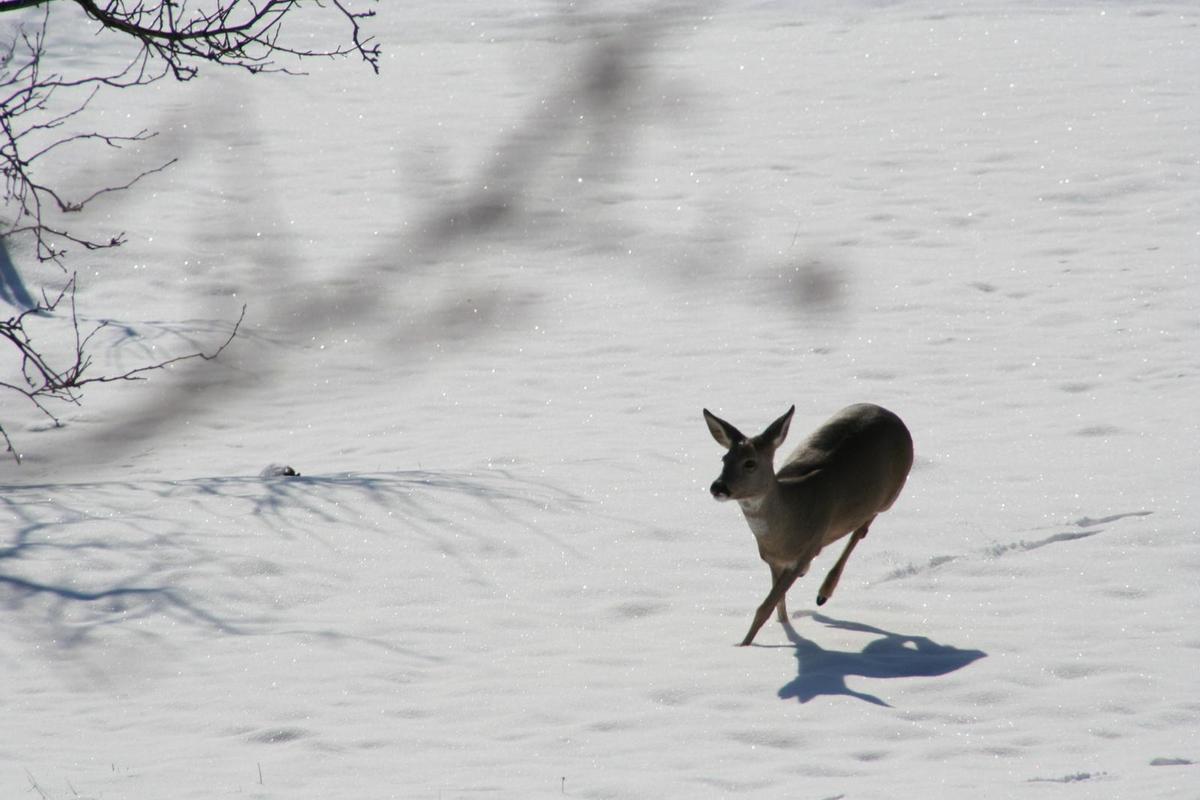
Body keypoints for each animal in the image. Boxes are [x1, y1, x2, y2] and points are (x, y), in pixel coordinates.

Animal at [700, 402, 912, 647]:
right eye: (724, 459)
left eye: (750, 463)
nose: (718, 487)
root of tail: (891, 414)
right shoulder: (772, 560)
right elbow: (778, 604)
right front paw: (783, 626)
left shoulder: (804, 552)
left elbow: (764, 607)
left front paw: (744, 645)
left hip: (891, 494)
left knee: (862, 528)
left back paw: (824, 593)